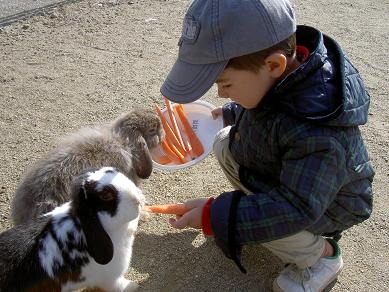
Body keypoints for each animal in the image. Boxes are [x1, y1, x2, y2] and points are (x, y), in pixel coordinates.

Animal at [0, 167, 144, 292]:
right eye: (106, 195)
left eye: (114, 170)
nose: (138, 199)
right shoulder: (111, 279)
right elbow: (119, 285)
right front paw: (133, 286)